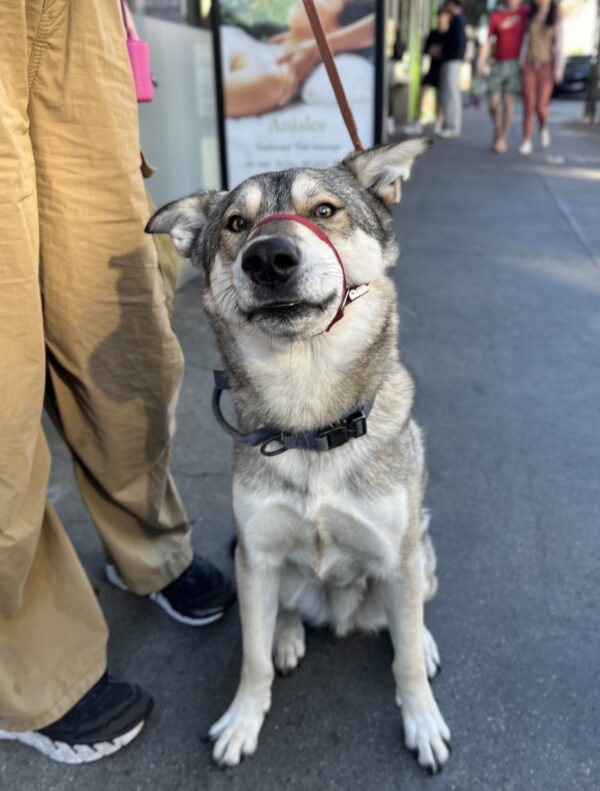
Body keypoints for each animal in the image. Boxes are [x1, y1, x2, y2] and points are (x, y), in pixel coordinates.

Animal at [149, 138, 450, 772]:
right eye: (237, 224)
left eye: (326, 212)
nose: (268, 258)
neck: (311, 421)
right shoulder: (257, 555)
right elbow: (252, 658)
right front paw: (243, 719)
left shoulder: (399, 556)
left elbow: (406, 659)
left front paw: (423, 720)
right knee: (283, 613)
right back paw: (287, 635)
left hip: (421, 551)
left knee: (410, 617)